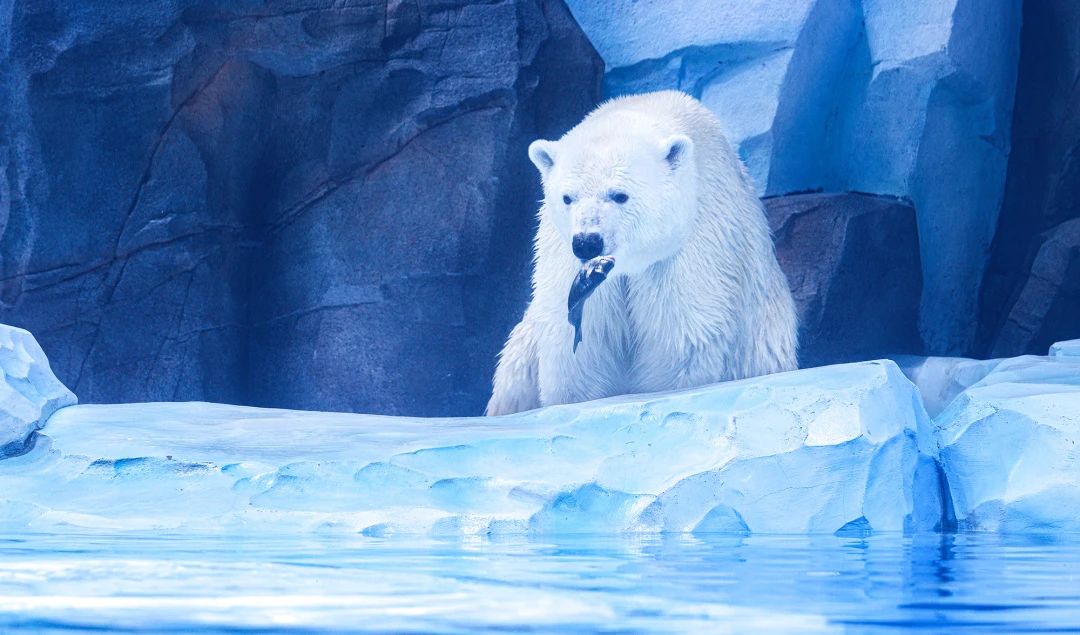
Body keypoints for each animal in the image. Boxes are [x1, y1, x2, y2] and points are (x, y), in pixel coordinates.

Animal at [486, 89, 799, 416]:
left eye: (619, 195)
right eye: (567, 197)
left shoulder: (695, 244)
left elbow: (681, 335)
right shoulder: (563, 258)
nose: (587, 242)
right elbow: (579, 343)